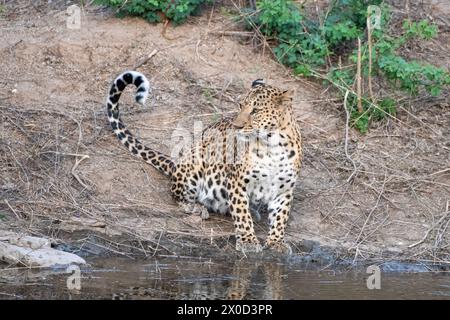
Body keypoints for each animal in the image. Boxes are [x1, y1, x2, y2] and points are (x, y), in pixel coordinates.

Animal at [106, 71, 302, 254]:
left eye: (255, 111)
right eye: (241, 105)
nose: (236, 126)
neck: (273, 146)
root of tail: (176, 164)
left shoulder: (284, 189)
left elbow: (280, 218)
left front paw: (276, 242)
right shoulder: (237, 182)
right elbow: (241, 214)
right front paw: (248, 241)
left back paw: (253, 212)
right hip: (196, 160)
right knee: (177, 195)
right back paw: (196, 208)